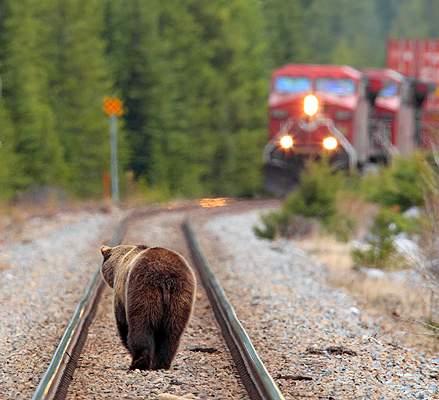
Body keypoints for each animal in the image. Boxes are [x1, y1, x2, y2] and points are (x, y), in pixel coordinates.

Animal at [100, 242, 197, 370]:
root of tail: (165, 278)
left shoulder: (121, 293)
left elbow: (122, 323)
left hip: (143, 290)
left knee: (141, 326)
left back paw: (138, 363)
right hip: (181, 295)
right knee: (171, 333)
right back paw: (161, 364)